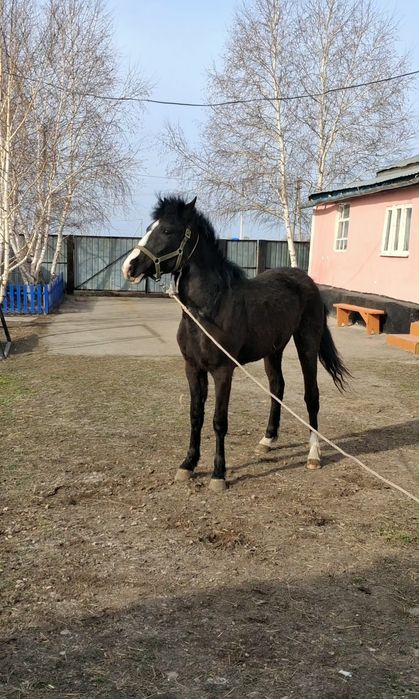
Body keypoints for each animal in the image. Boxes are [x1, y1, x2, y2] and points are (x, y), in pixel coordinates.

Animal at [122, 195, 350, 492]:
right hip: (273, 350)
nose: (129, 267)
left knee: (311, 395)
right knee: (277, 387)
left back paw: (313, 455)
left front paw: (219, 474)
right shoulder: (192, 368)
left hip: (307, 344)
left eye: (168, 230)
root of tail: (307, 281)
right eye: (150, 227)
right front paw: (188, 465)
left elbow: (219, 421)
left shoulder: (222, 371)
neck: (209, 308)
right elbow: (196, 415)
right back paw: (267, 441)